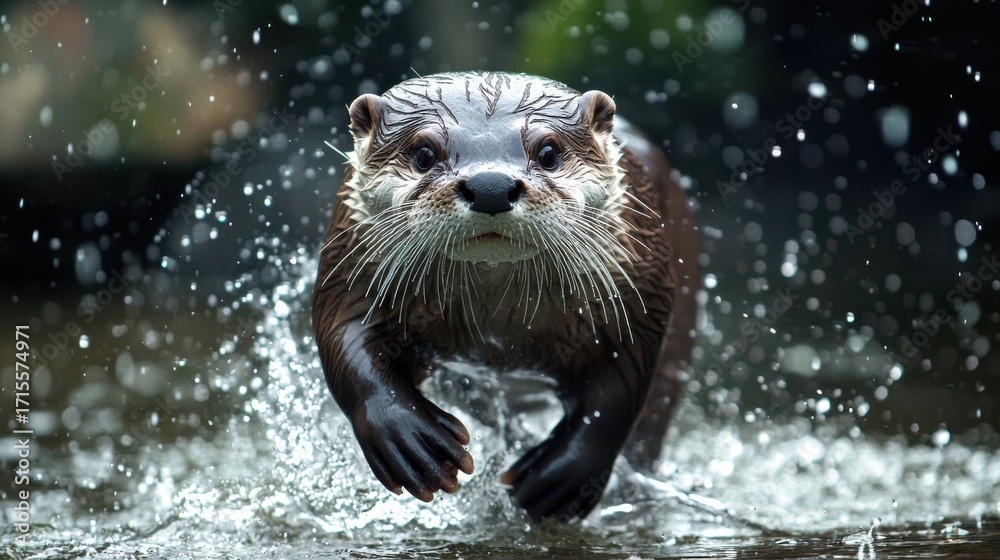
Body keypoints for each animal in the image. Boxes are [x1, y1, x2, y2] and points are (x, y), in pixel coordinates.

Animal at [313, 72, 701, 521]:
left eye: (548, 152)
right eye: (424, 153)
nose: (491, 186)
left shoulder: (638, 289)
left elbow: (618, 391)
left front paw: (565, 475)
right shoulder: (351, 269)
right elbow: (345, 341)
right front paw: (406, 439)